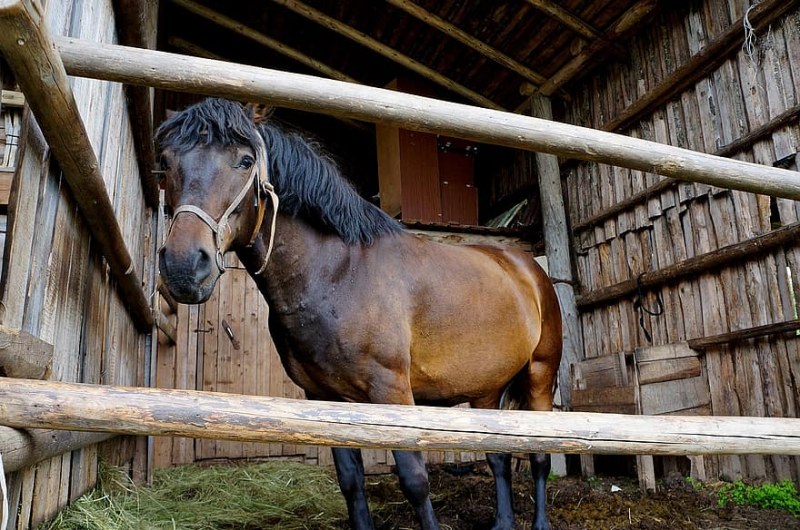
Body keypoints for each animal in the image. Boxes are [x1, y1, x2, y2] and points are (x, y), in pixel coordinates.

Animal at [156, 98, 564, 528]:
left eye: (245, 160)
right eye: (165, 162)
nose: (184, 266)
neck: (339, 273)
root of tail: (529, 267)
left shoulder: (392, 393)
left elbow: (415, 481)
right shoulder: (325, 399)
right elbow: (351, 483)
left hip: (540, 376)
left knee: (539, 457)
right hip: (488, 389)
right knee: (499, 456)